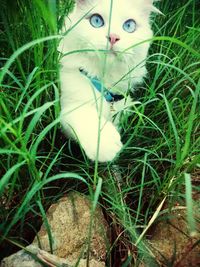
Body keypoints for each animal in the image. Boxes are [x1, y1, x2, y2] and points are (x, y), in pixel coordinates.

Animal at [58, 0, 159, 162]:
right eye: (96, 21)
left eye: (129, 25)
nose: (113, 37)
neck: (105, 86)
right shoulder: (69, 106)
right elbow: (86, 116)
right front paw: (104, 144)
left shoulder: (122, 105)